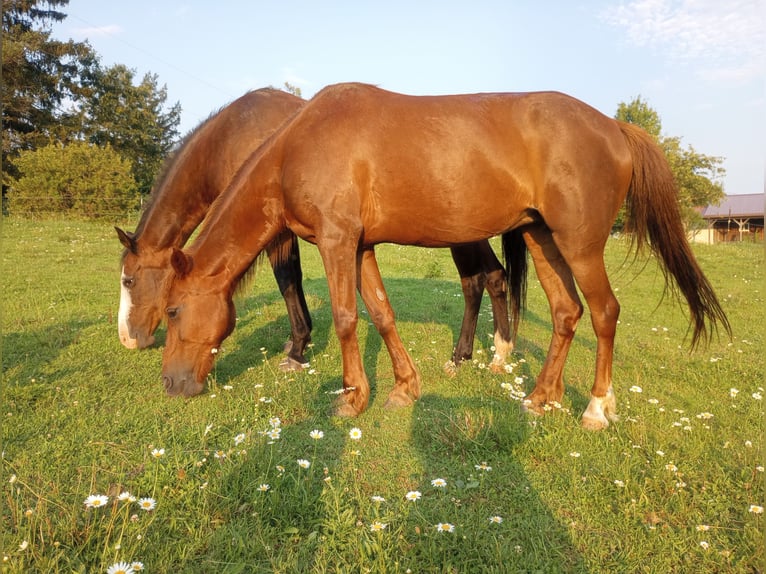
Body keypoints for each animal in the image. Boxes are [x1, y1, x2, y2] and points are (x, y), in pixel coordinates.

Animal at [115, 88, 516, 371]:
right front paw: (300, 342)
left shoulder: (275, 232)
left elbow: (288, 280)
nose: (128, 340)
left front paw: (297, 348)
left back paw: (468, 356)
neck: (233, 138)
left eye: (129, 280)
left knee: (477, 282)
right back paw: (488, 354)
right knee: (492, 277)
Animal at [161, 83, 729, 430]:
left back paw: (594, 407)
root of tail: (615, 127)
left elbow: (346, 318)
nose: (170, 384)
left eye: (171, 309)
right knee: (567, 312)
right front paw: (404, 389)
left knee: (605, 312)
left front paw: (352, 397)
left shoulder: (336, 240)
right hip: (542, 238)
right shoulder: (360, 245)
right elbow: (381, 314)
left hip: (580, 244)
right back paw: (541, 397)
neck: (296, 147)